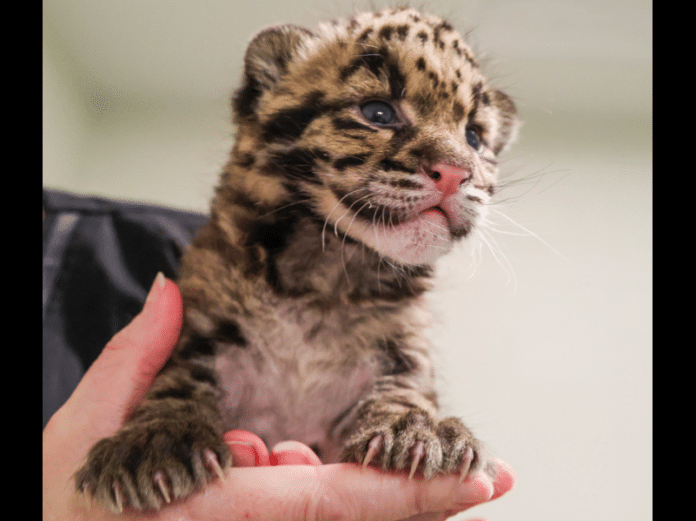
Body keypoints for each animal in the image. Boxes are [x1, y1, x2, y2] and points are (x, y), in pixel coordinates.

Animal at [75, 6, 519, 512]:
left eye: (474, 137)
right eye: (378, 113)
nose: (456, 172)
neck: (325, 272)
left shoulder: (401, 347)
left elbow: (405, 388)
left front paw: (421, 431)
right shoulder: (203, 323)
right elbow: (179, 377)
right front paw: (154, 443)